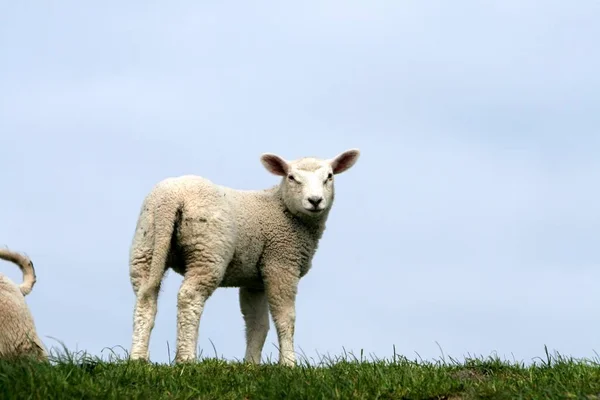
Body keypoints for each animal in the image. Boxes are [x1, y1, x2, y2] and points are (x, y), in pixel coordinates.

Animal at [128, 148, 358, 366]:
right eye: (292, 177)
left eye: (329, 176)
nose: (315, 200)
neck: (282, 207)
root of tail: (171, 198)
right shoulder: (281, 262)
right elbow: (285, 317)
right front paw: (288, 363)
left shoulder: (254, 281)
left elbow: (257, 324)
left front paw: (251, 364)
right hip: (207, 249)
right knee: (189, 297)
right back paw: (186, 358)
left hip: (146, 244)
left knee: (145, 298)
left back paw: (138, 358)